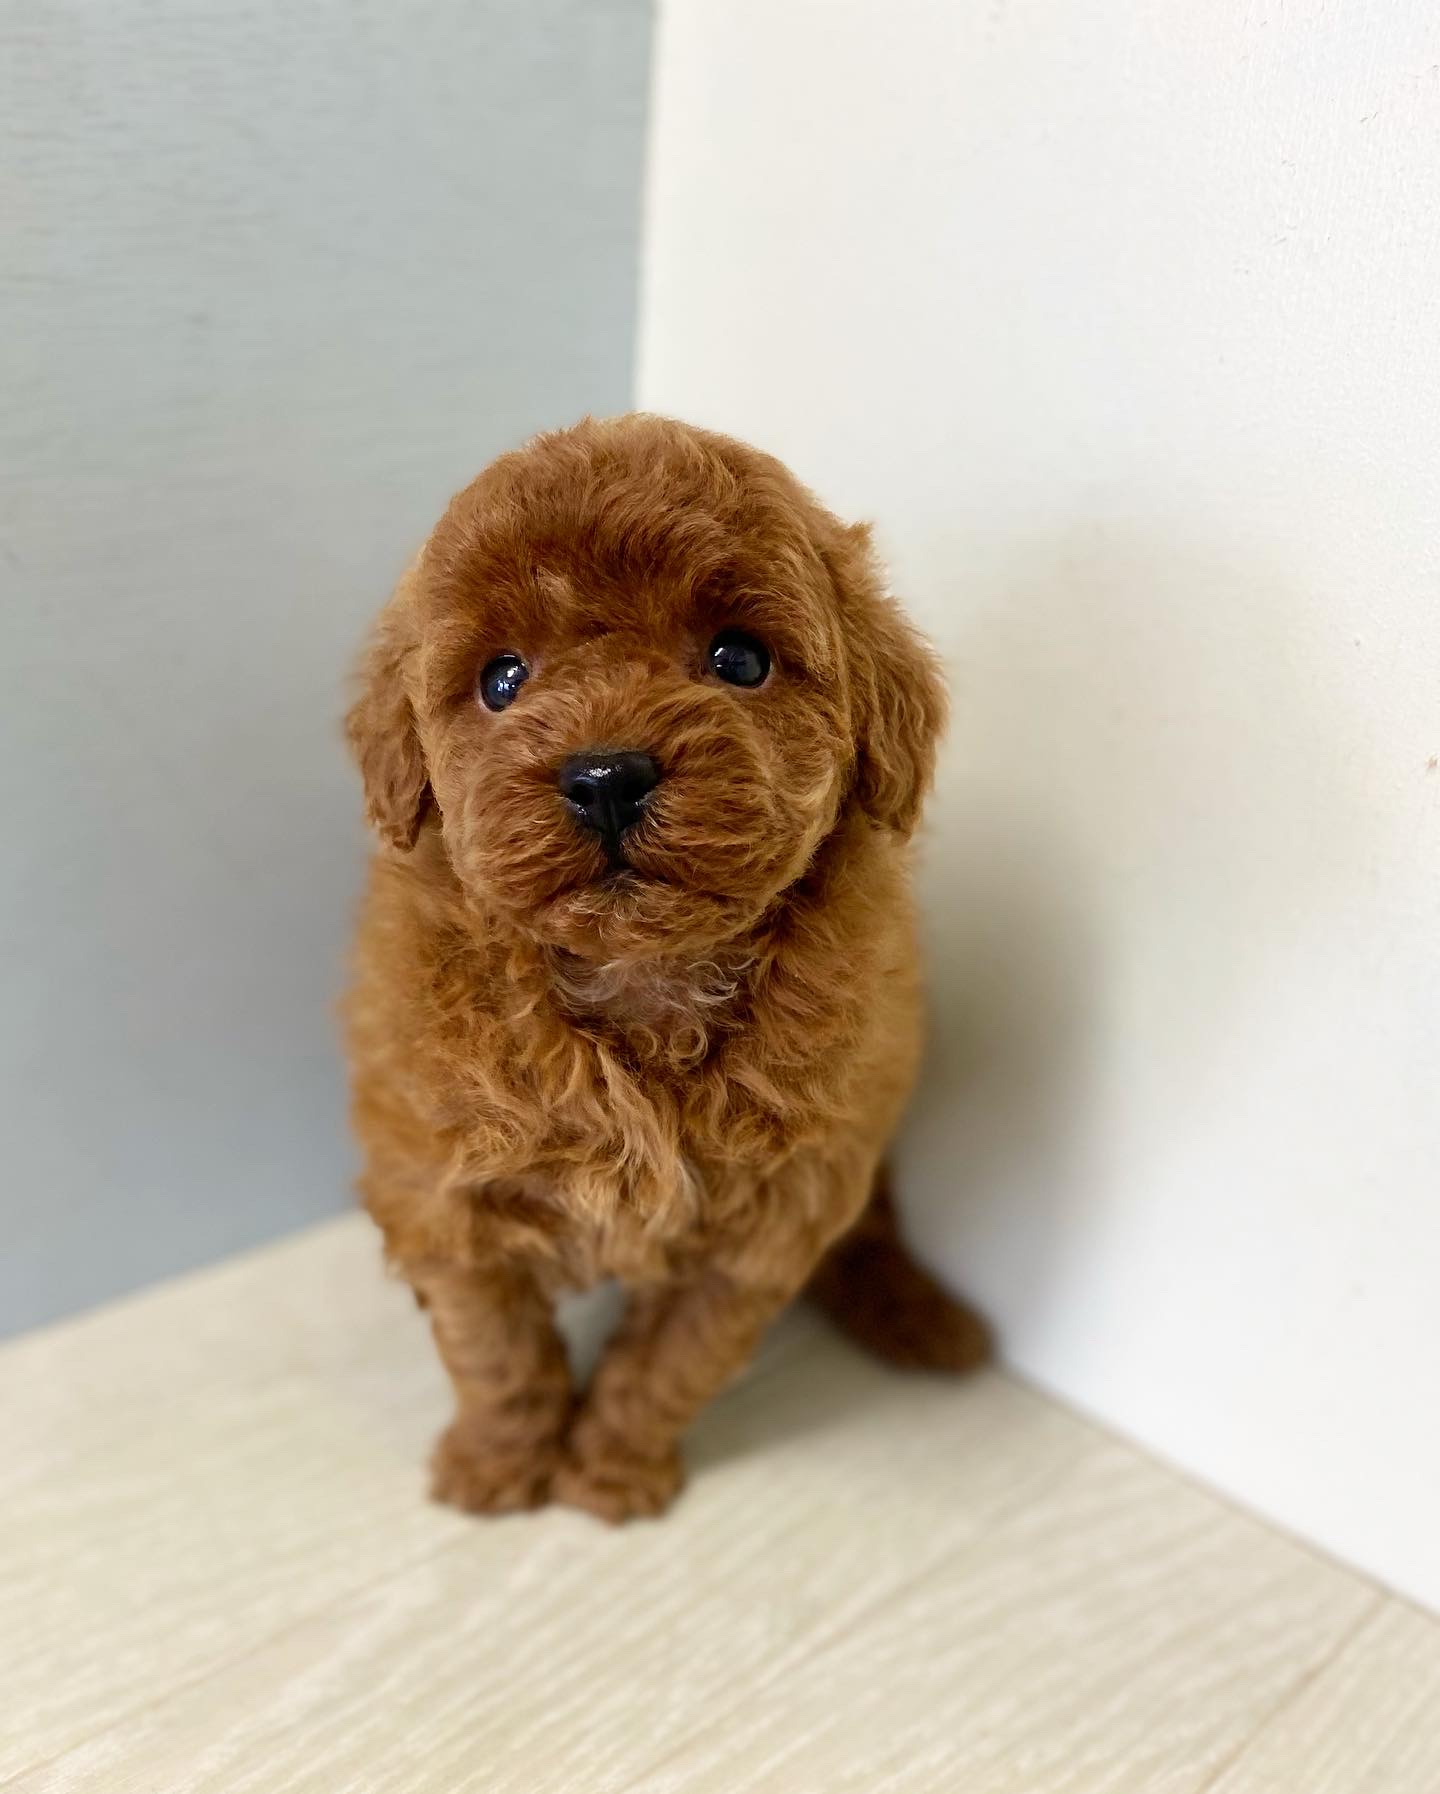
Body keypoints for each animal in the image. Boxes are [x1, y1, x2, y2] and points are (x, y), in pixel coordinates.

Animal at [344, 414, 990, 1522]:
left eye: (739, 658)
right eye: (502, 679)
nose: (606, 775)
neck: (641, 979)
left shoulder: (766, 1221)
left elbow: (673, 1363)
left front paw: (610, 1471)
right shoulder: (447, 1188)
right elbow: (494, 1350)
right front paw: (499, 1467)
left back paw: (925, 1318)